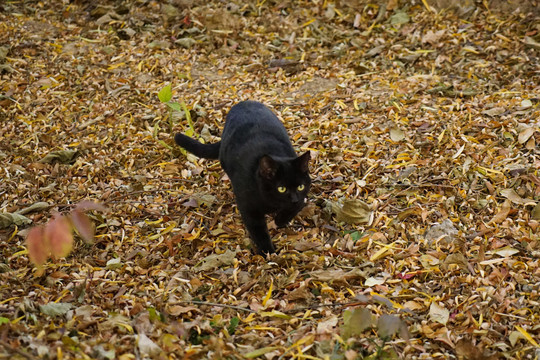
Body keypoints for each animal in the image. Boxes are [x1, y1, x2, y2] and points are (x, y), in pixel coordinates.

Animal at [175, 100, 310, 255]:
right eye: (281, 188)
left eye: (300, 186)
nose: (294, 199)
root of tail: (244, 102)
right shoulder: (249, 209)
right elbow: (259, 232)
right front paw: (268, 252)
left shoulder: (302, 197)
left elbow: (294, 208)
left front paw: (280, 220)